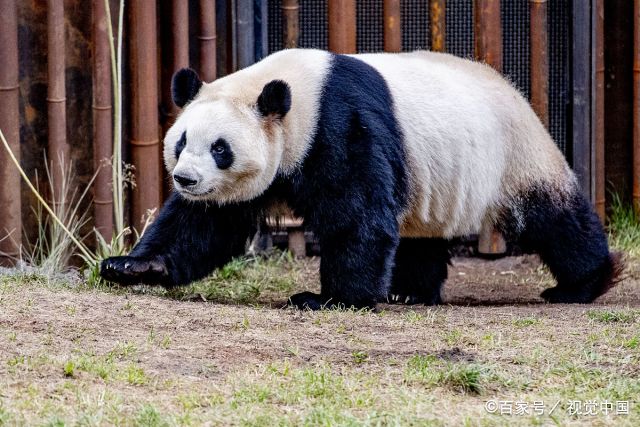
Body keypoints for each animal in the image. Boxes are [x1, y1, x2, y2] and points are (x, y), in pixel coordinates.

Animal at [100, 48, 620, 310]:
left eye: (220, 149)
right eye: (182, 141)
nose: (185, 179)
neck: (293, 93)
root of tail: (516, 91)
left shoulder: (338, 125)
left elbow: (357, 215)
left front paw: (327, 298)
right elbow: (204, 223)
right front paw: (133, 266)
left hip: (512, 155)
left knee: (554, 219)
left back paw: (581, 284)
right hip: (434, 176)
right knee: (419, 232)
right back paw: (410, 291)